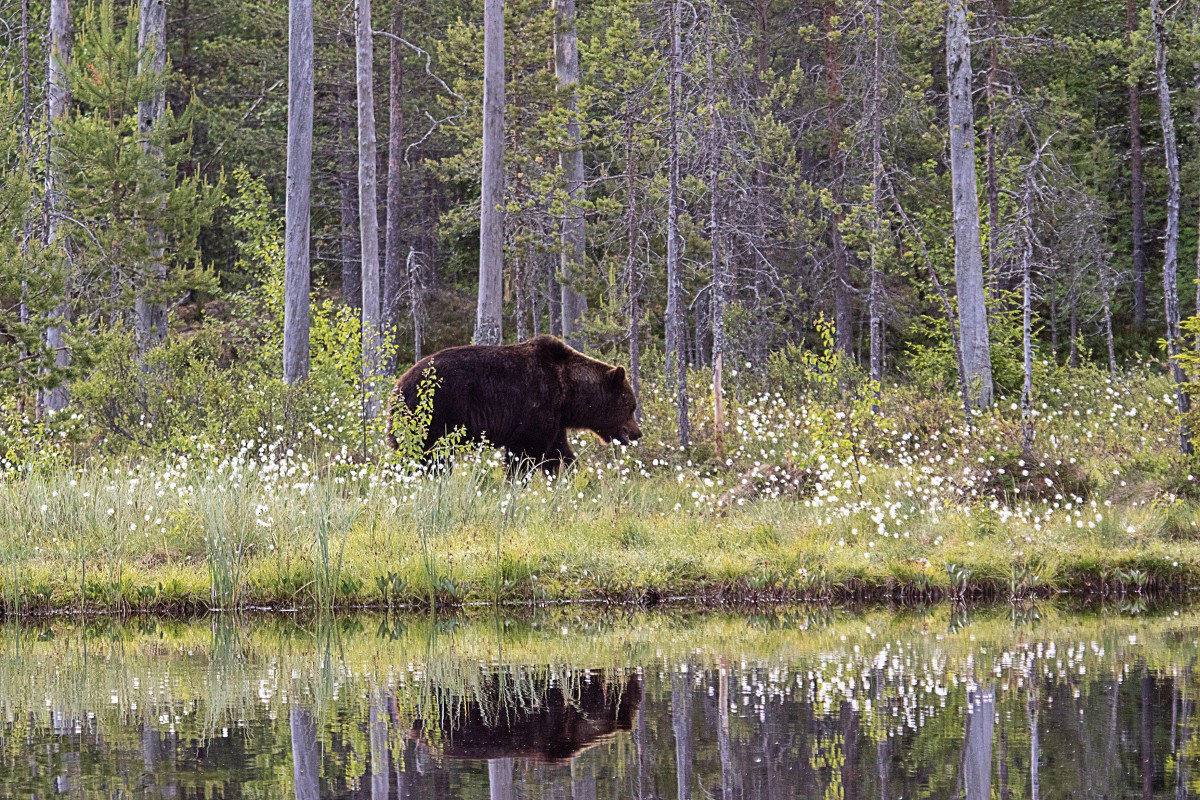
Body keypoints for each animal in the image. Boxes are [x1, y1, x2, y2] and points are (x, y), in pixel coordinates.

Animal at [388, 335, 643, 472]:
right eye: (631, 406)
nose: (636, 433)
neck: (568, 392)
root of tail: (399, 385)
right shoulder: (536, 405)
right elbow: (525, 452)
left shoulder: (554, 421)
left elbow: (558, 453)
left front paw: (567, 475)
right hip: (436, 414)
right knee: (430, 456)